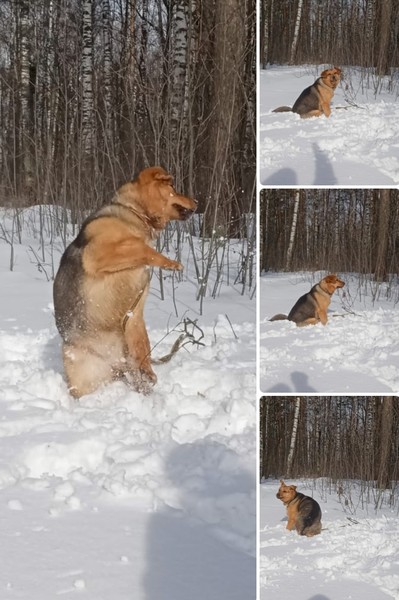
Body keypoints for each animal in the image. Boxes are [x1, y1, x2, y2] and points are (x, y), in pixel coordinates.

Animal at [53, 165, 197, 398]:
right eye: (173, 186)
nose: (198, 202)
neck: (135, 213)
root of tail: (115, 364)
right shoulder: (98, 254)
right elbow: (143, 247)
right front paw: (171, 263)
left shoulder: (135, 315)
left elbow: (144, 344)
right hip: (78, 368)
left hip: (128, 335)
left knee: (139, 357)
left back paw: (146, 374)